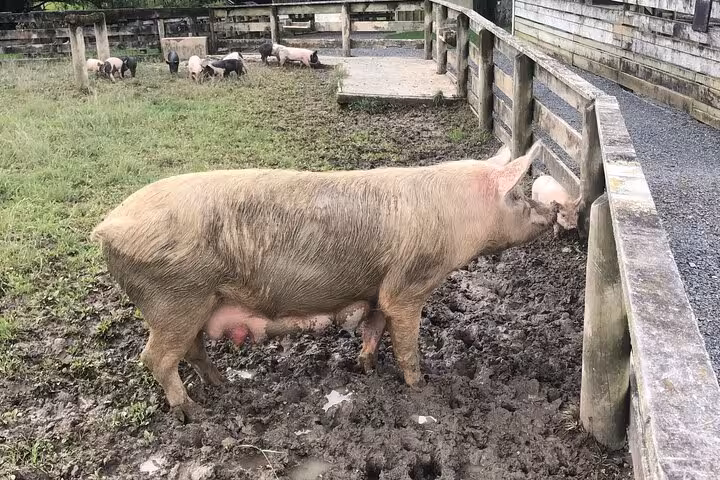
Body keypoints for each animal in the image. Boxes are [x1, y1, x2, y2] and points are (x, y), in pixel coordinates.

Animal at [90, 141, 558, 422]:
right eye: (518, 195)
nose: (554, 211)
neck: (459, 218)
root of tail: (107, 225)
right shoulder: (409, 282)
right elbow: (405, 339)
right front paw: (422, 386)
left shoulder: (375, 288)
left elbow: (374, 326)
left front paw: (366, 367)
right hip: (176, 298)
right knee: (154, 357)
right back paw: (192, 412)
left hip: (193, 305)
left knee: (190, 350)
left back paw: (220, 384)